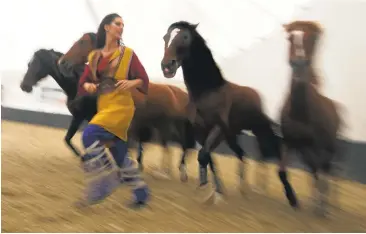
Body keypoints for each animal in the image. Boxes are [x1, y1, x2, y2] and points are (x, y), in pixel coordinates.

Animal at [160, 20, 298, 207]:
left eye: (185, 37)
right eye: (165, 37)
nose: (167, 66)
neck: (207, 92)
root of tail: (256, 95)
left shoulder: (217, 127)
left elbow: (203, 155)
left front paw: (206, 190)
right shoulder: (200, 131)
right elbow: (208, 157)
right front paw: (216, 191)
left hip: (258, 129)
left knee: (273, 150)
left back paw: (289, 196)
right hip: (231, 134)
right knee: (241, 153)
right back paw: (244, 189)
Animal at [280, 21, 344, 217]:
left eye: (312, 38)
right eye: (290, 37)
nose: (299, 64)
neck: (300, 114)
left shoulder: (317, 147)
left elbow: (321, 173)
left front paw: (322, 208)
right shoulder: (292, 142)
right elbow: (283, 171)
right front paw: (293, 200)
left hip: (330, 146)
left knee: (329, 170)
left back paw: (330, 205)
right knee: (318, 171)